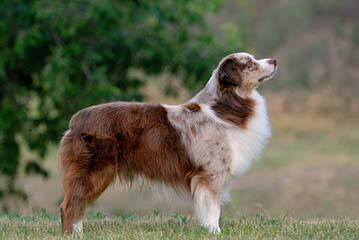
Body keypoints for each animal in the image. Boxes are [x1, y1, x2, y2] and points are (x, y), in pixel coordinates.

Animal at [59, 52, 278, 234]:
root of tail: (76, 120)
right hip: (93, 171)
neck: (225, 107)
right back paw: (72, 234)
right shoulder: (210, 173)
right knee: (69, 205)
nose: (274, 60)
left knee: (75, 204)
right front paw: (214, 232)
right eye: (249, 64)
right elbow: (213, 207)